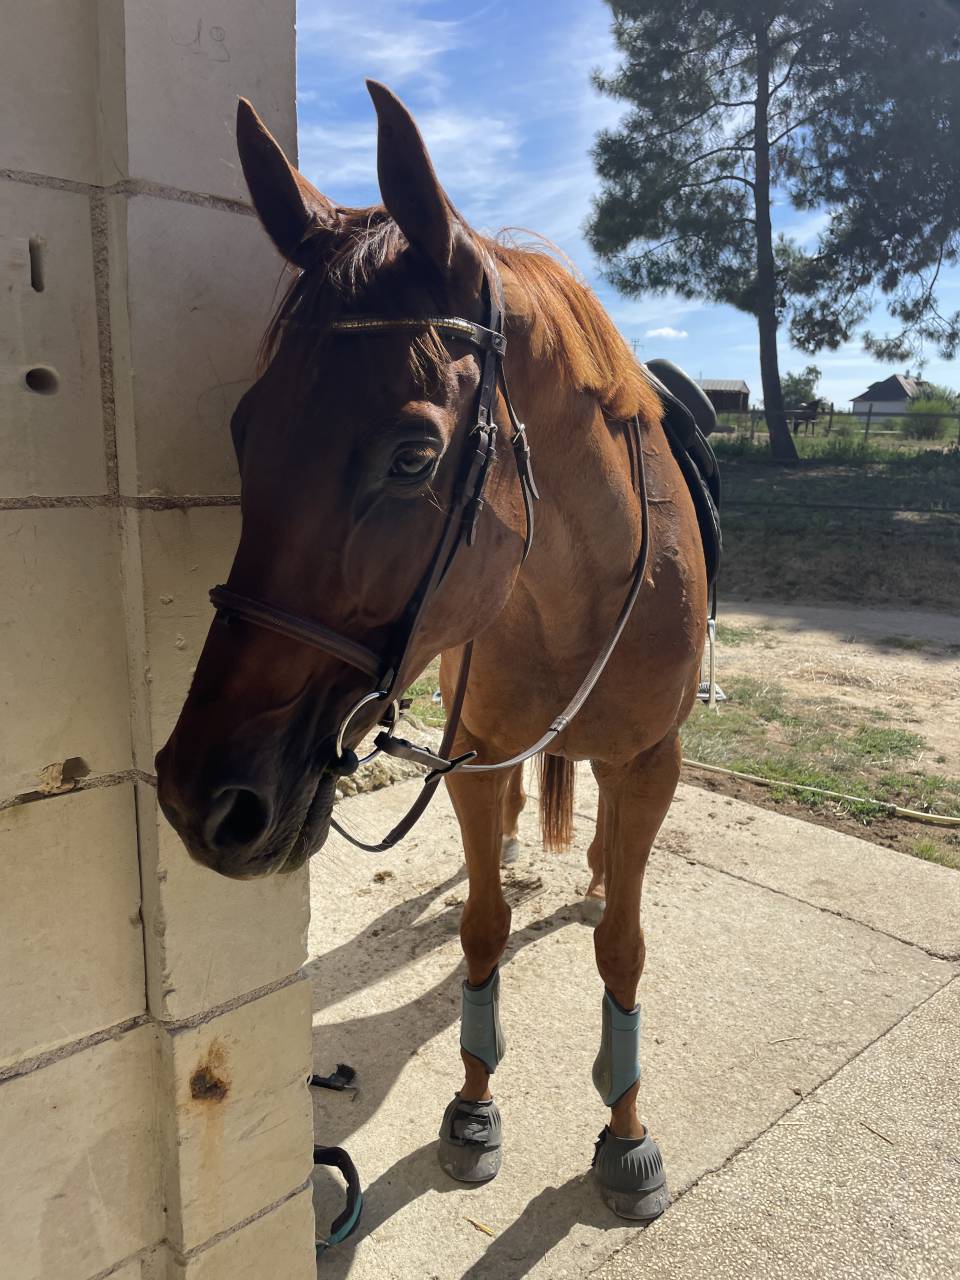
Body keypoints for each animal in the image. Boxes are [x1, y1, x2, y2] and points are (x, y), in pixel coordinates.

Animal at [156, 81, 708, 1221]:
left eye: (414, 456)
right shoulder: (474, 758)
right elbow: (482, 932)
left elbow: (624, 950)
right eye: (243, 429)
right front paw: (474, 1107)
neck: (575, 589)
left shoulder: (651, 761)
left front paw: (625, 1133)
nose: (200, 798)